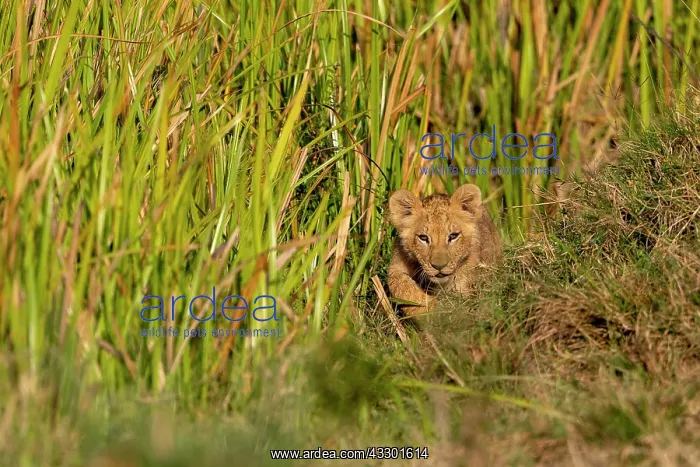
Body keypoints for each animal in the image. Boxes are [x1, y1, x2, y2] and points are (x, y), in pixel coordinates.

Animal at [387, 183, 502, 318]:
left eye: (453, 236)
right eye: (423, 238)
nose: (439, 266)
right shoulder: (396, 267)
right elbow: (402, 288)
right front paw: (433, 311)